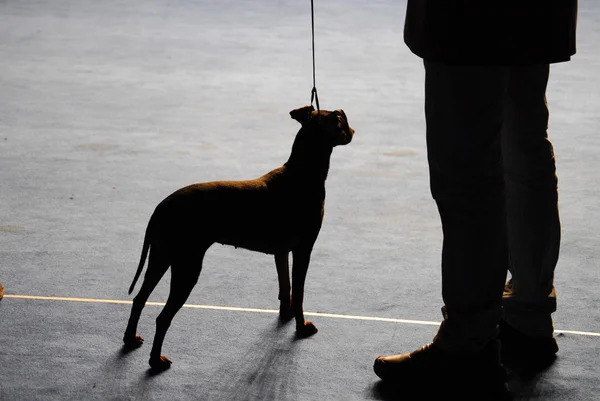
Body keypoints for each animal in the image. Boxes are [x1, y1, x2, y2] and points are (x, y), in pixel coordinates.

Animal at [124, 105, 354, 368]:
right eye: (340, 120)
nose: (353, 130)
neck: (302, 173)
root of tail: (162, 205)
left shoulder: (282, 252)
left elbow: (285, 288)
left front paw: (285, 315)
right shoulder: (303, 249)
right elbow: (299, 294)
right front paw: (301, 327)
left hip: (161, 258)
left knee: (139, 299)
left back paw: (130, 338)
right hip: (186, 268)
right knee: (162, 317)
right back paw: (156, 361)